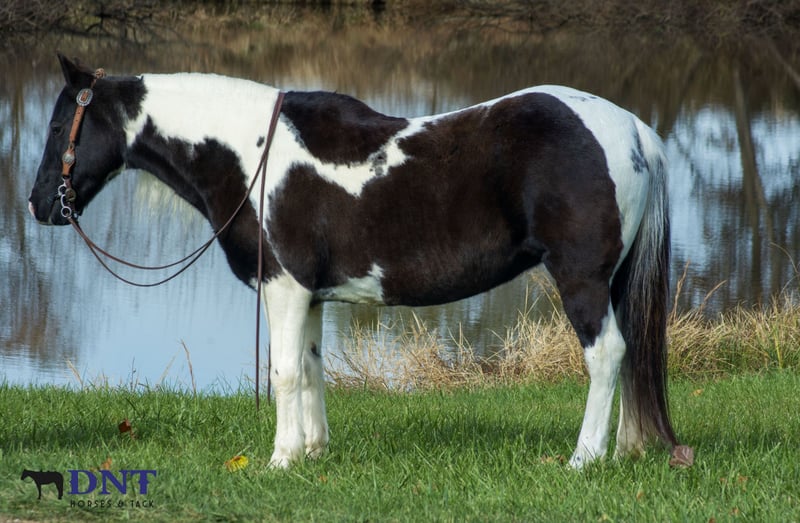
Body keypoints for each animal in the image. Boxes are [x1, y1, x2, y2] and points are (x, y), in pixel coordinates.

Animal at [29, 54, 690, 469]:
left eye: (61, 125)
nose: (39, 205)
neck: (255, 155)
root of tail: (633, 129)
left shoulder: (283, 288)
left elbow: (284, 373)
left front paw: (279, 460)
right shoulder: (310, 294)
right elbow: (311, 369)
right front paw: (313, 453)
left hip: (581, 280)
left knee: (606, 355)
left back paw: (583, 458)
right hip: (614, 280)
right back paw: (627, 449)